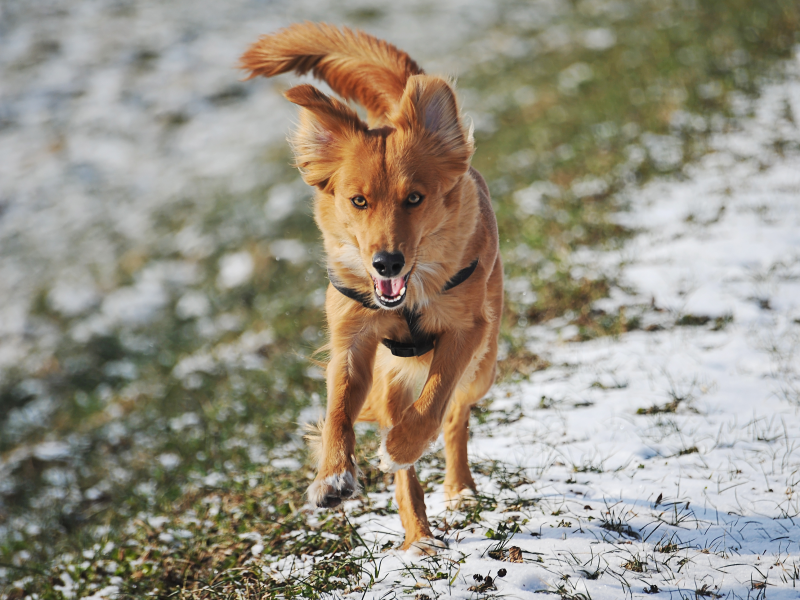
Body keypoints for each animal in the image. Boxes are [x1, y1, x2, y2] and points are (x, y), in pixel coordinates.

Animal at [239, 23, 500, 556]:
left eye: (415, 198)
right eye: (358, 201)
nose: (386, 262)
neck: (408, 295)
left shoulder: (466, 329)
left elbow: (435, 399)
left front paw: (400, 446)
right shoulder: (353, 340)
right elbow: (338, 409)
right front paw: (332, 476)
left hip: (485, 364)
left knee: (456, 414)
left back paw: (457, 487)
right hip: (391, 376)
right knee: (406, 457)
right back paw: (419, 536)